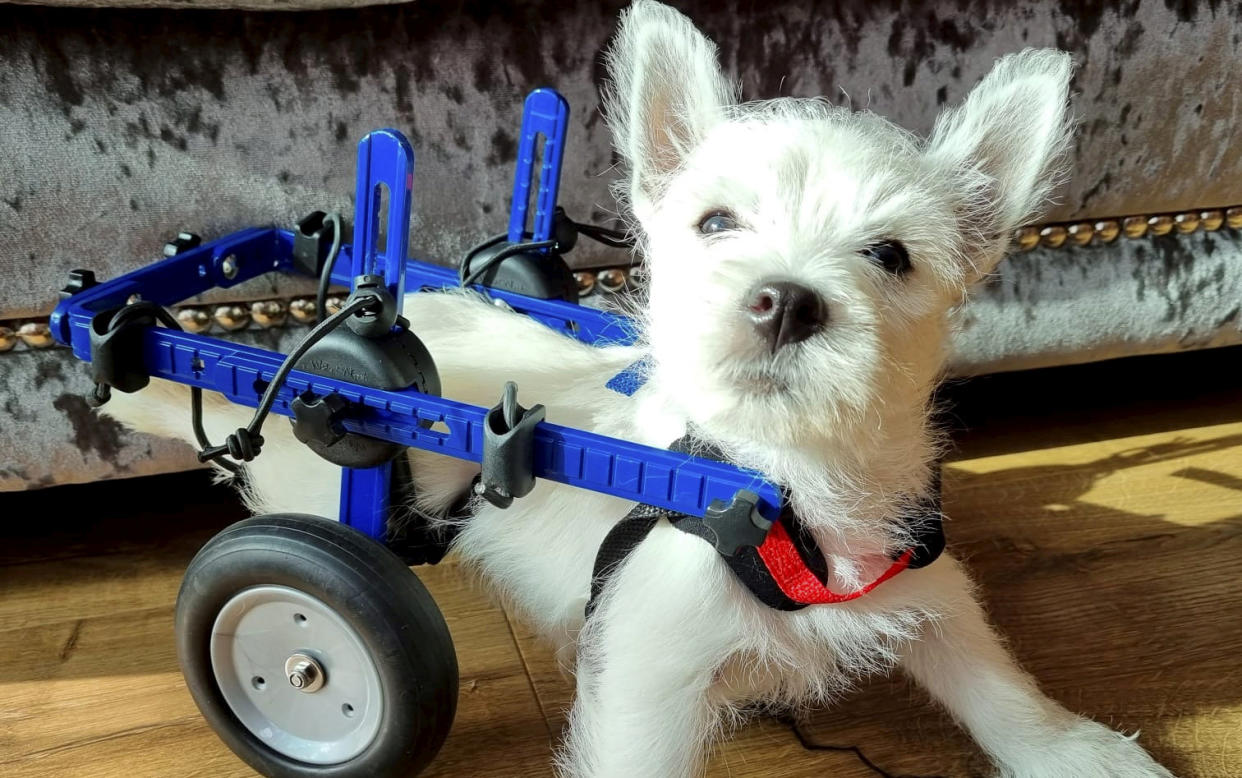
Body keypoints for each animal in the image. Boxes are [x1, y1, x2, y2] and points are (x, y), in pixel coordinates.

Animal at [106, 1, 1172, 775]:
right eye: (716, 224)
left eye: (892, 255)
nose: (785, 300)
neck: (770, 493)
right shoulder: (647, 692)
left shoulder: (922, 586)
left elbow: (994, 678)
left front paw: (1077, 751)